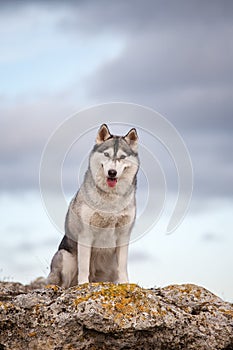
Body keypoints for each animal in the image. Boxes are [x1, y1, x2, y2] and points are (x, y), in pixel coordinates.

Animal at [47, 124, 138, 286]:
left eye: (122, 157)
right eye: (107, 154)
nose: (112, 172)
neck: (110, 199)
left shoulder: (124, 235)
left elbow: (123, 266)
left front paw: (125, 284)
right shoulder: (85, 234)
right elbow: (84, 266)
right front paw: (84, 284)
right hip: (65, 257)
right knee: (65, 284)